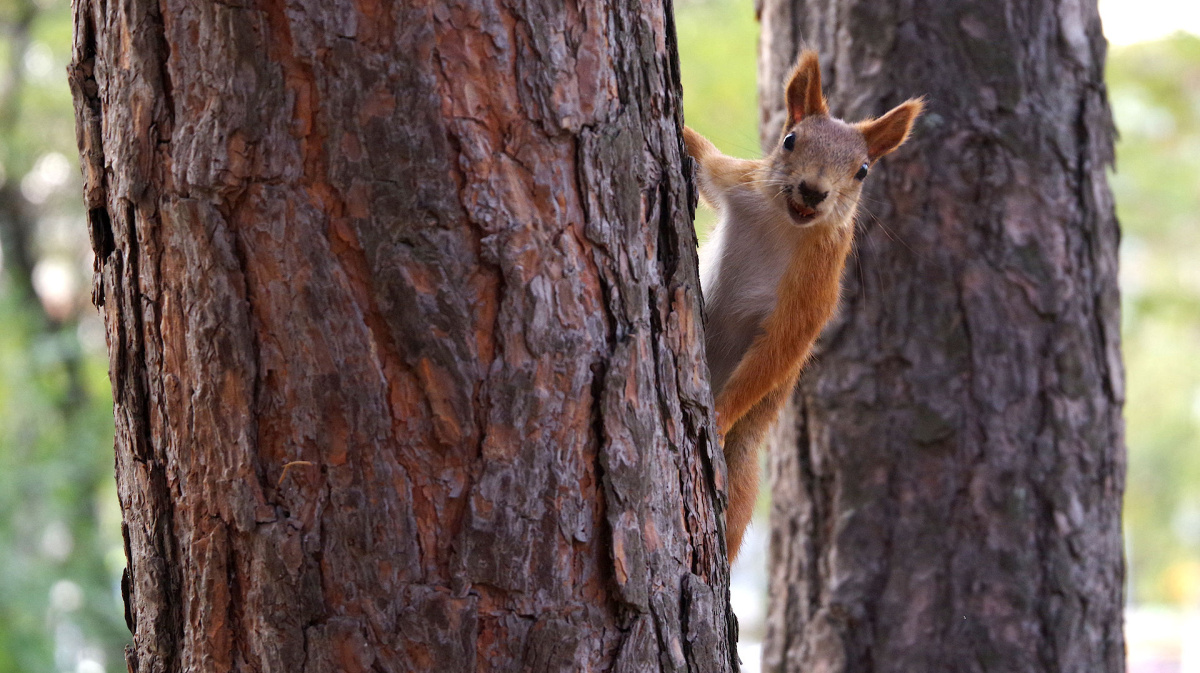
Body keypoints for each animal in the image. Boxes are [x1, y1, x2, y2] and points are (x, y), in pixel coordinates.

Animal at [681, 49, 921, 559]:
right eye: (790, 140)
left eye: (863, 170)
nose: (813, 190)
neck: (783, 222)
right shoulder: (737, 181)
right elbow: (704, 158)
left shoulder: (814, 291)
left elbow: (779, 350)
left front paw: (719, 416)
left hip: (743, 463)